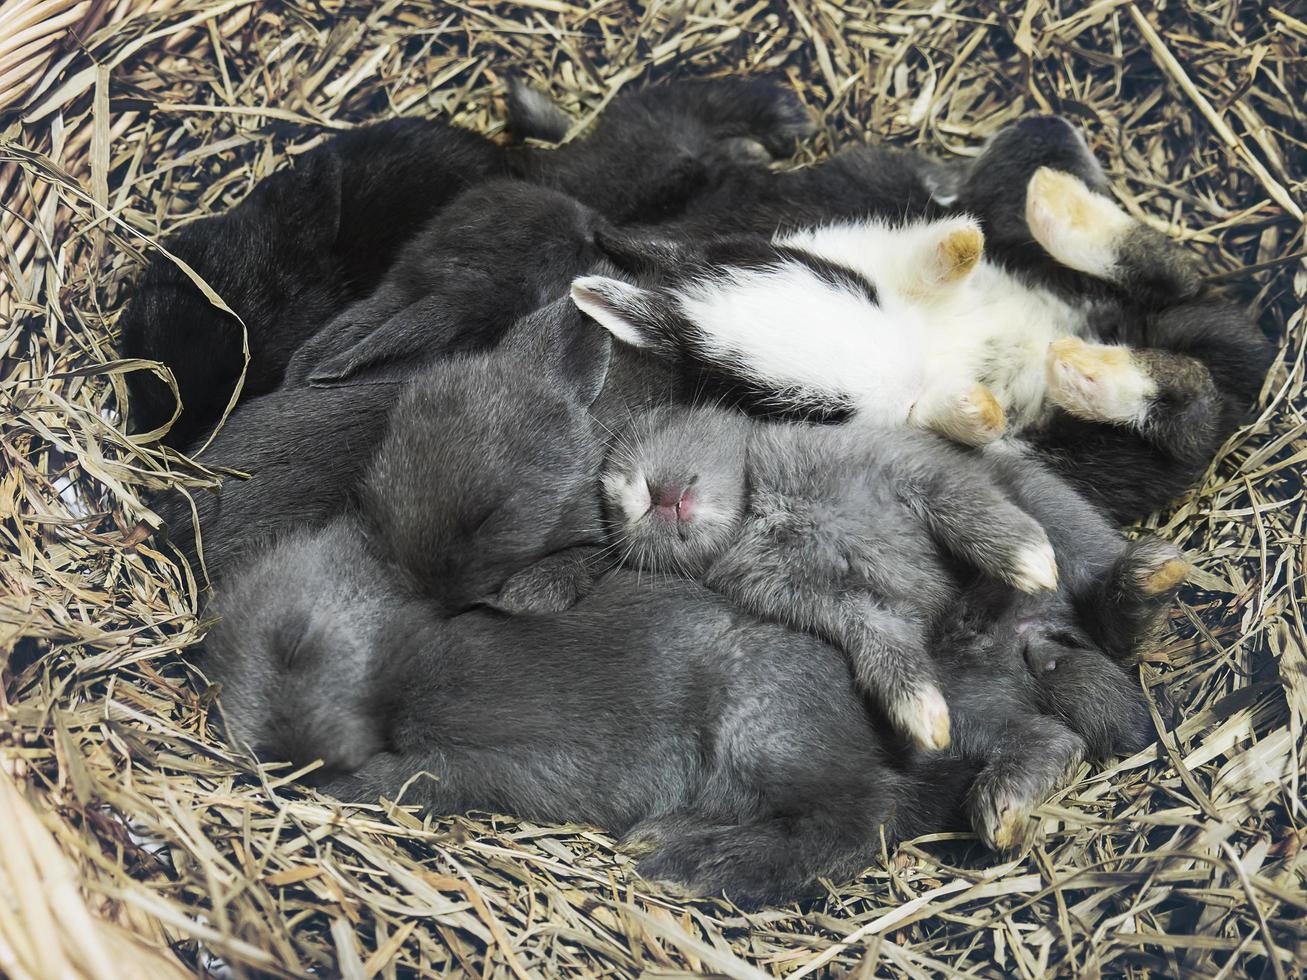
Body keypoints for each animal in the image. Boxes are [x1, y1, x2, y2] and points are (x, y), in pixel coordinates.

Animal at [601, 407, 1061, 752]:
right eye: (614, 515)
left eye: (658, 425)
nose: (641, 498)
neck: (753, 508)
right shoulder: (844, 605)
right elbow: (886, 645)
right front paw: (925, 719)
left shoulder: (907, 467)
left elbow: (964, 506)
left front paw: (1032, 562)